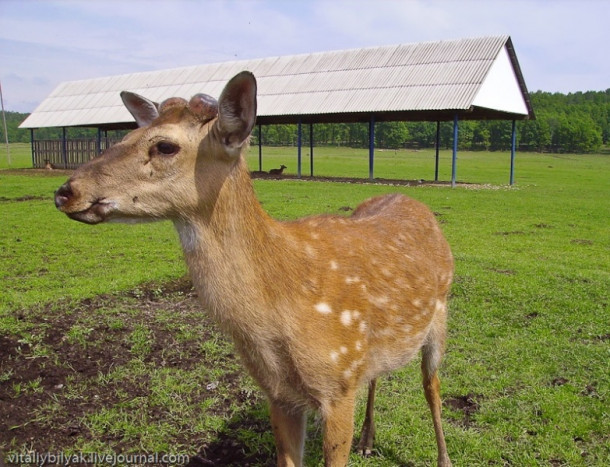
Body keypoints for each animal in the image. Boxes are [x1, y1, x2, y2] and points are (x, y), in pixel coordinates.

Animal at [54, 71, 452, 466]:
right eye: (124, 138)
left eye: (165, 146)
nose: (65, 192)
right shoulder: (279, 393)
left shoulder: (338, 382)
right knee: (377, 375)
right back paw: (368, 440)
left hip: (441, 313)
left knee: (431, 386)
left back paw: (442, 456)